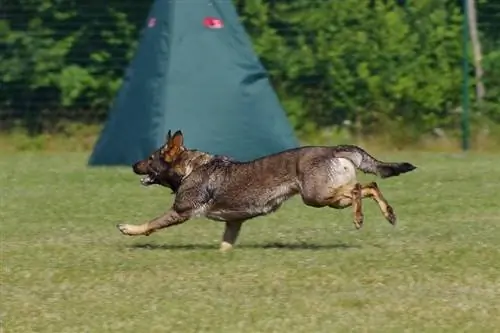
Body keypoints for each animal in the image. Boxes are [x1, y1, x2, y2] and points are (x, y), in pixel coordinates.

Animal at [118, 130, 418, 249]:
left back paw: (359, 218)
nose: (132, 165)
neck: (190, 168)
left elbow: (151, 224)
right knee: (370, 185)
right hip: (329, 196)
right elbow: (226, 243)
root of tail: (334, 149)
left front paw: (129, 229)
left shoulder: (180, 211)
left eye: (150, 158)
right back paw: (389, 214)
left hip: (316, 197)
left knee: (358, 189)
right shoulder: (234, 222)